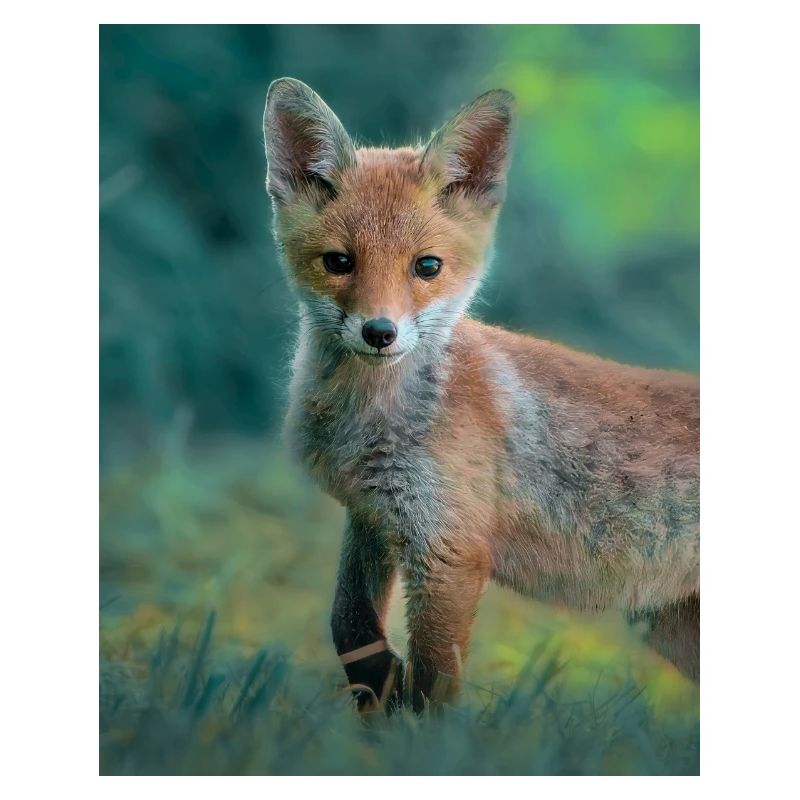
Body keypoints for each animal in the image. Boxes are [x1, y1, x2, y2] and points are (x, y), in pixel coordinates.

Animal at [262, 77, 699, 712]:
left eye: (427, 266)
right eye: (338, 262)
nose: (379, 332)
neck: (370, 424)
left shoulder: (451, 550)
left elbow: (434, 684)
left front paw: (416, 730)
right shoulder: (374, 515)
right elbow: (350, 625)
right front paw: (379, 689)